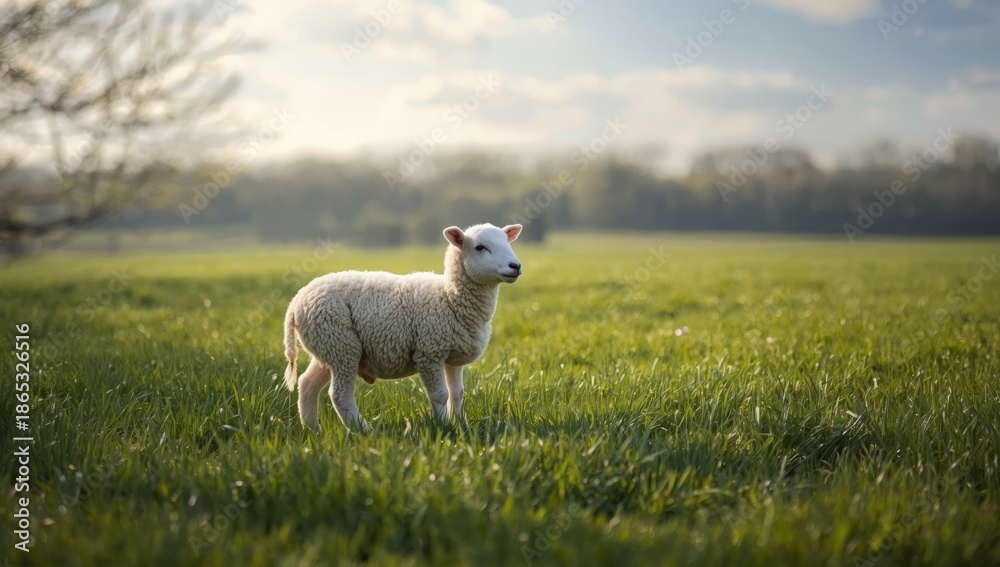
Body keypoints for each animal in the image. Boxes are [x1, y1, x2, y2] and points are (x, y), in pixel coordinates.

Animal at [282, 223, 523, 433]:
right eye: (480, 247)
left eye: (507, 241)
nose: (516, 266)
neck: (448, 296)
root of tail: (295, 302)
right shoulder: (429, 352)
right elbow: (440, 395)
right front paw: (443, 427)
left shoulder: (452, 356)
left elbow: (457, 393)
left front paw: (460, 425)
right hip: (341, 345)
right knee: (339, 395)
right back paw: (364, 431)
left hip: (328, 348)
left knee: (307, 385)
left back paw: (313, 431)